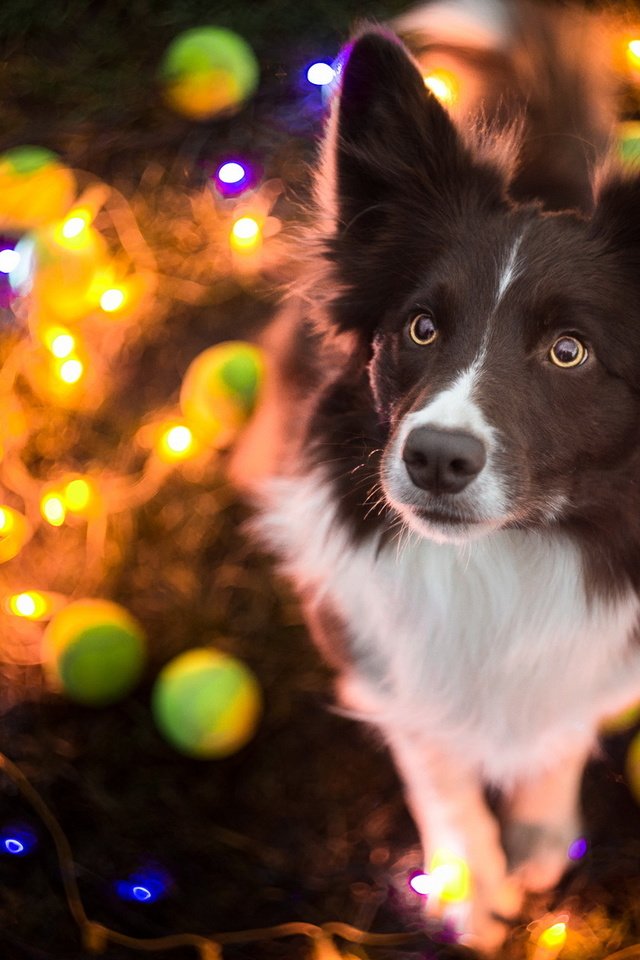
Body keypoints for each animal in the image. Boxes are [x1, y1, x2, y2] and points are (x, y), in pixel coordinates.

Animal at [231, 1, 640, 952]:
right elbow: (433, 753)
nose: (436, 458)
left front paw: (540, 832)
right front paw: (466, 879)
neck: (504, 561)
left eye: (570, 351)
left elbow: (565, 723)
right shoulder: (370, 645)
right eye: (420, 327)